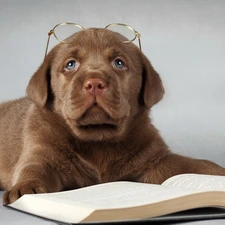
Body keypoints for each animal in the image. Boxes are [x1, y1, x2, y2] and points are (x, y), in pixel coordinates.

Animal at [0, 27, 225, 205]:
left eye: (119, 63)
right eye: (71, 64)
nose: (94, 83)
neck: (98, 138)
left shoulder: (155, 159)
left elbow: (193, 165)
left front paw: (218, 175)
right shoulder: (41, 149)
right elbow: (33, 168)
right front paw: (26, 188)